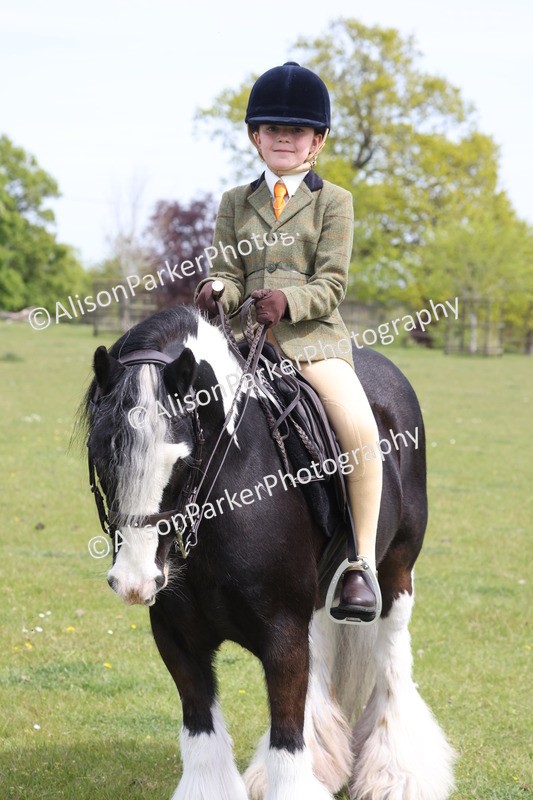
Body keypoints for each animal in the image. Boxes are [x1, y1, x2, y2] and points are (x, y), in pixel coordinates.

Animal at [81, 304, 455, 800]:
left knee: (392, 659)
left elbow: (288, 742)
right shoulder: (177, 639)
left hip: (396, 571)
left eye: (182, 462)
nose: (135, 580)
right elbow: (203, 741)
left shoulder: (282, 637)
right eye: (102, 457)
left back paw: (397, 774)